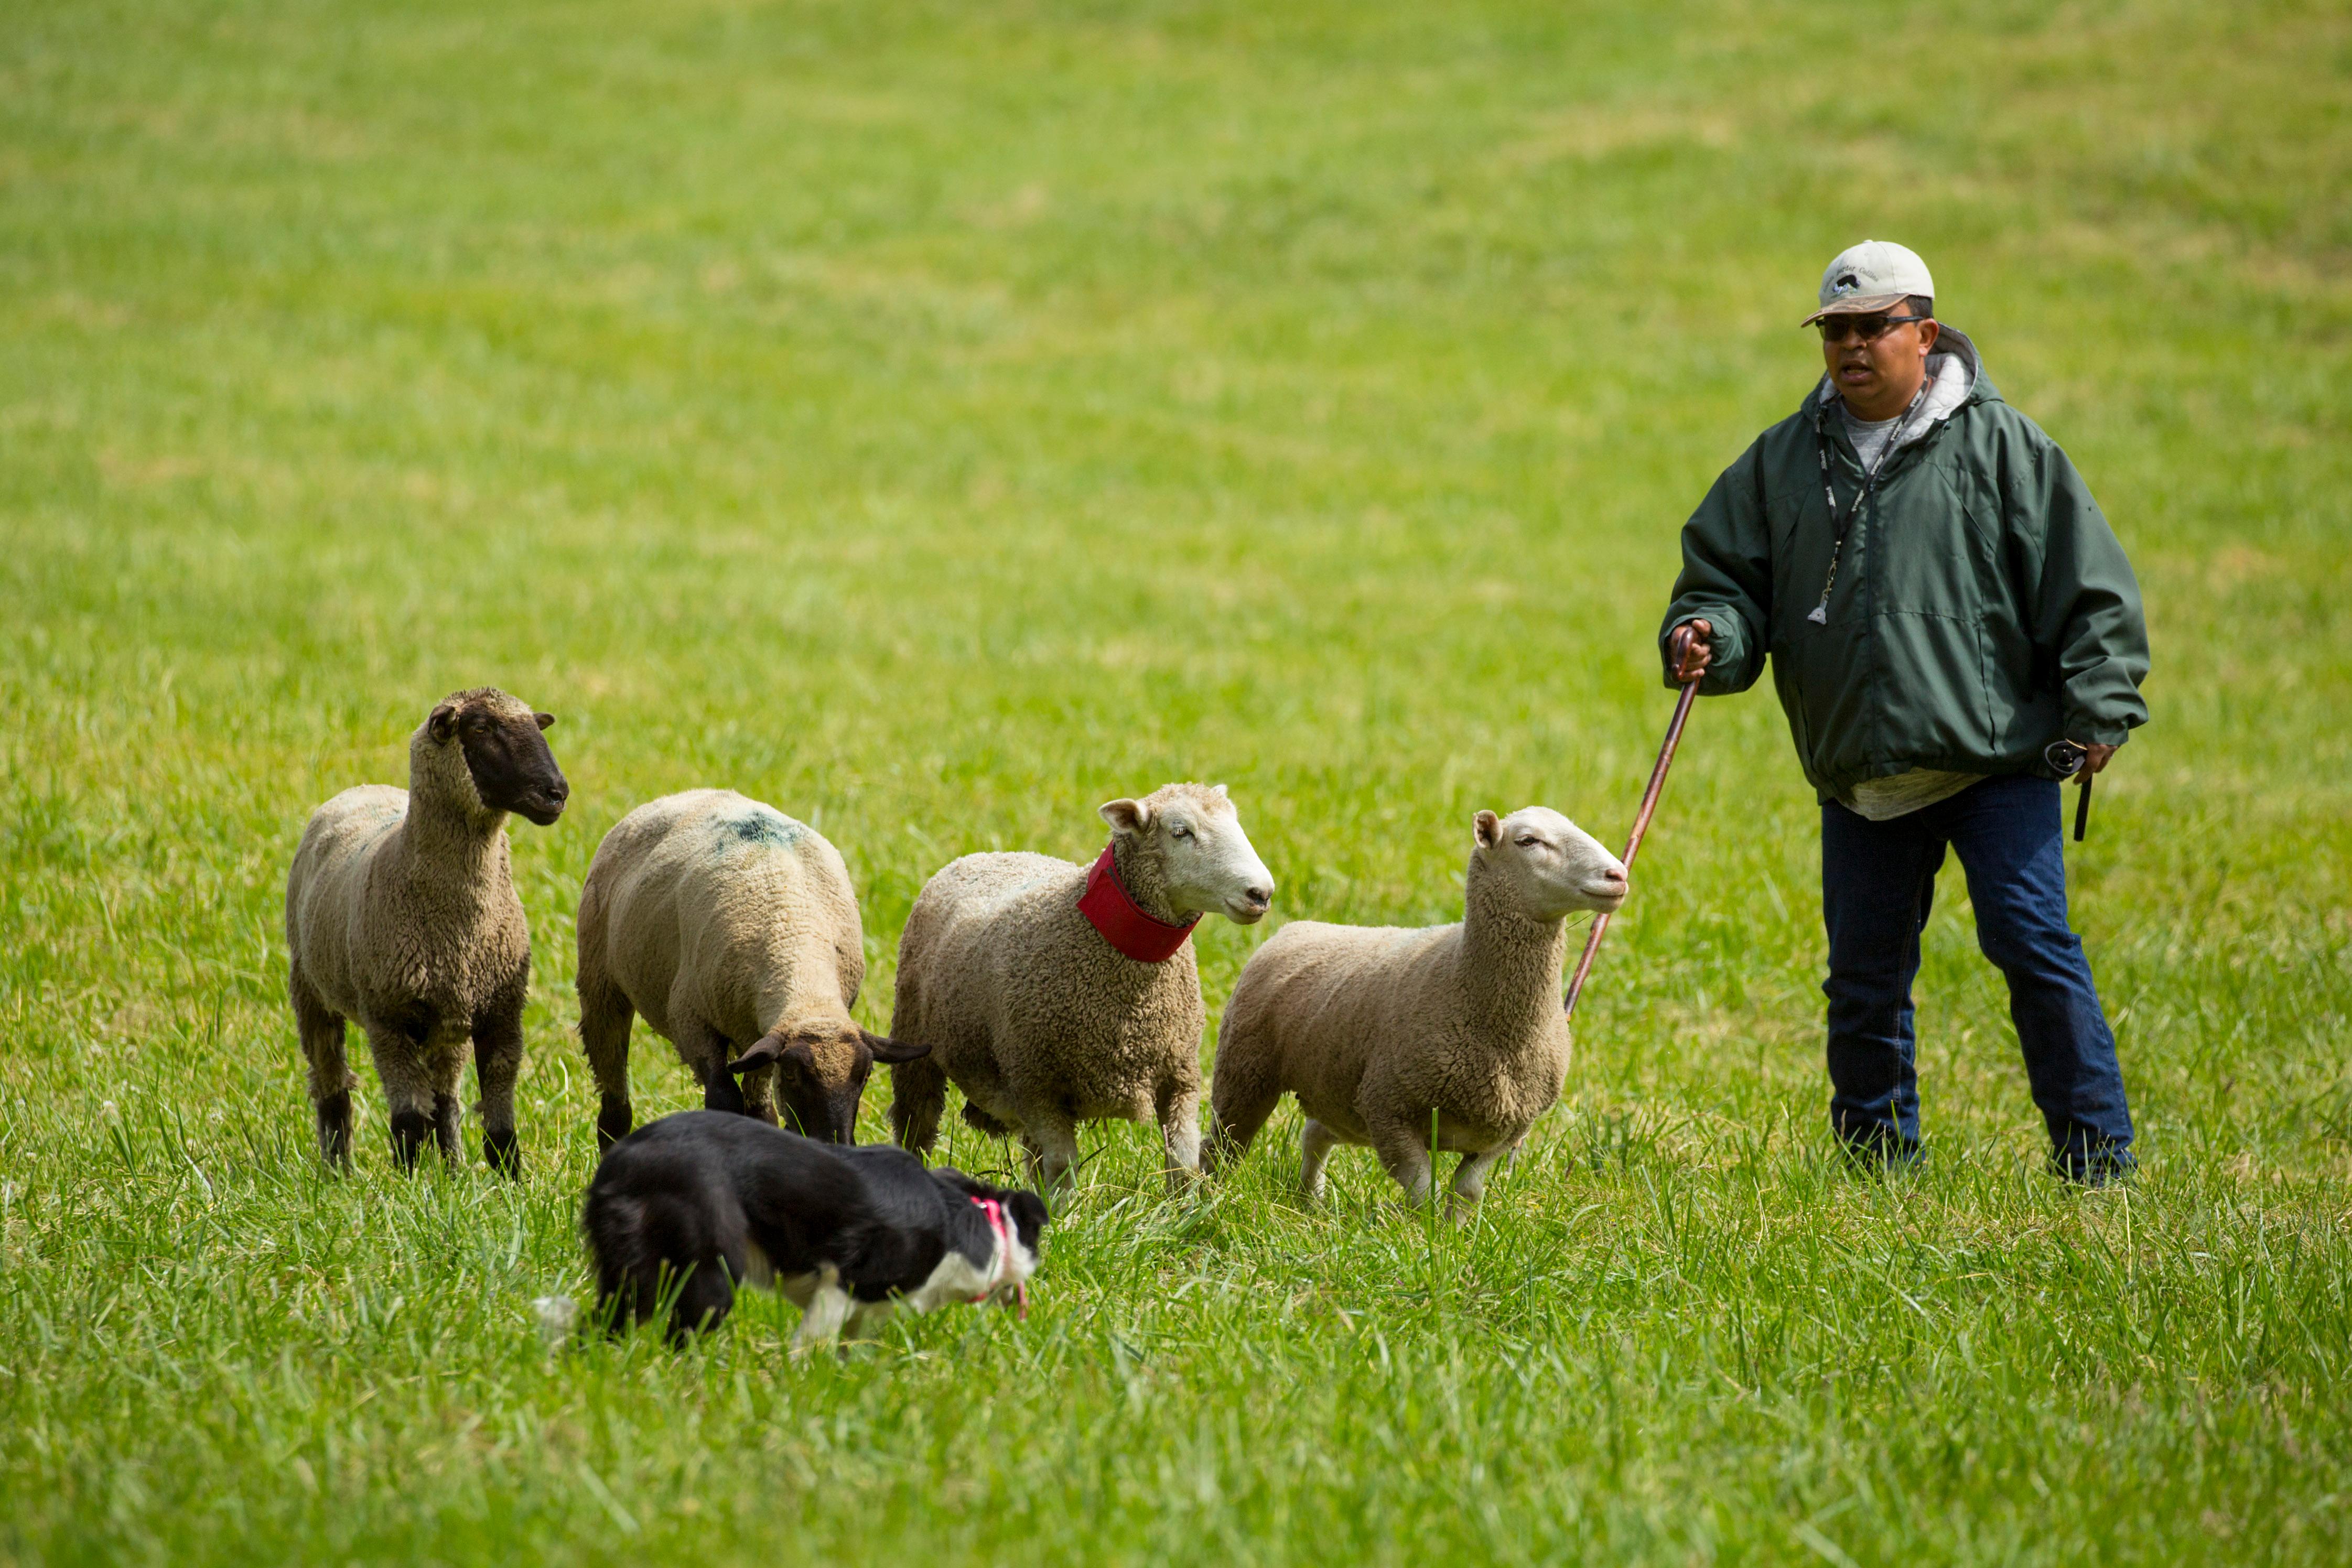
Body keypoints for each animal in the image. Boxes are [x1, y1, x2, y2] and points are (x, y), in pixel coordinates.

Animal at [284, 686, 569, 1175]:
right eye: (481, 728)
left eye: (536, 725)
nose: (557, 793)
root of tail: (364, 787)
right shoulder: (389, 1017)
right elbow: (409, 1117)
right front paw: (409, 1181)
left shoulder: (502, 1011)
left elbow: (499, 1113)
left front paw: (510, 1180)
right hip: (309, 988)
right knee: (332, 1085)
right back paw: (338, 1172)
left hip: (449, 1019)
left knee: (446, 1099)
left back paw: (453, 1169)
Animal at [578, 790, 926, 1147]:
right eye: (792, 1075)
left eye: (866, 1075)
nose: (834, 1144)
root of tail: (686, 794)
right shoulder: (691, 1021)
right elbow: (723, 1099)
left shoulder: (762, 1038)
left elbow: (760, 1111)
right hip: (600, 982)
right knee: (614, 1093)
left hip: (749, 1035)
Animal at [884, 780, 1289, 1194]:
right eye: (1180, 831)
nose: (1261, 893)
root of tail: (989, 853)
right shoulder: (1038, 1084)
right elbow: (1063, 1167)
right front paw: (1063, 1213)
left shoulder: (1180, 1077)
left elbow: (1183, 1162)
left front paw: (1185, 1210)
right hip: (916, 1046)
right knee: (917, 1126)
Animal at [1204, 808, 1627, 1213]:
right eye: (1528, 841)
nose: (1619, 875)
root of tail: (1297, 927)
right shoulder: (1389, 1109)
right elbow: (1425, 1191)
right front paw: (1424, 1233)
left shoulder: (1504, 1134)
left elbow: (1467, 1193)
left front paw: (1453, 1235)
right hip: (1246, 1071)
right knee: (1222, 1147)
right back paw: (1204, 1200)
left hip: (1340, 1092)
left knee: (1315, 1135)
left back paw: (1311, 1202)